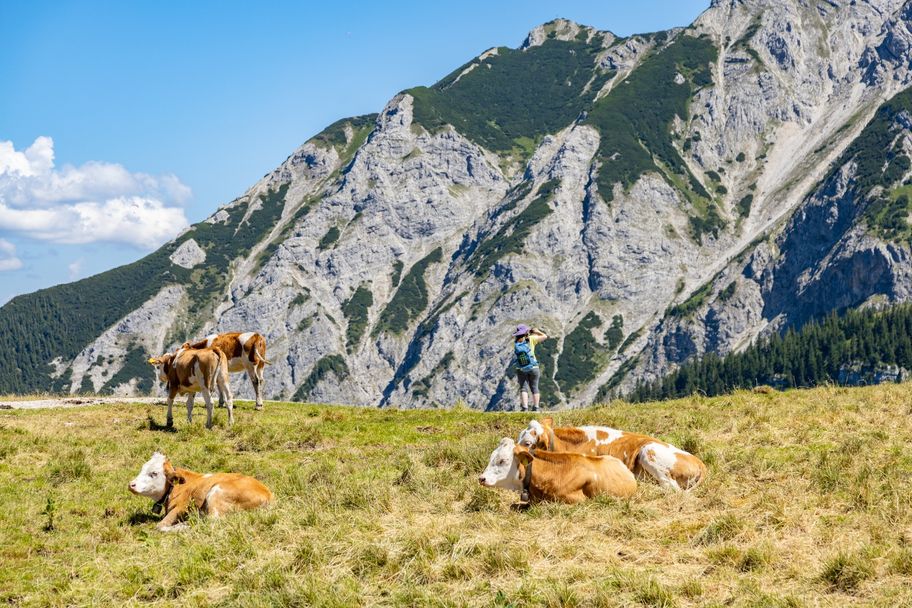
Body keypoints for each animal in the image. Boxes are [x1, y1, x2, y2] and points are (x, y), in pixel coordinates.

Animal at [129, 451, 273, 531]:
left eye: (154, 473)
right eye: (142, 468)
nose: (131, 485)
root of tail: (268, 494)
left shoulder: (180, 508)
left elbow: (160, 526)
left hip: (216, 493)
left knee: (212, 523)